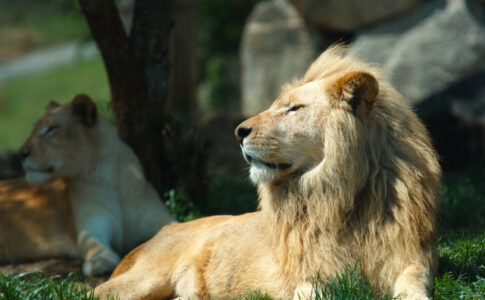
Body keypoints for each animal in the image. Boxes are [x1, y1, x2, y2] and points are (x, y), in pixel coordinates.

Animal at [0, 95, 177, 276]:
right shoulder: (91, 225)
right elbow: (93, 243)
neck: (109, 178)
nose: (21, 154)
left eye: (51, 129)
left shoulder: (158, 217)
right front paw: (100, 261)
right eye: (33, 131)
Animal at [95, 45, 442, 298]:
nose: (239, 131)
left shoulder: (411, 258)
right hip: (144, 281)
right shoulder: (308, 275)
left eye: (294, 108)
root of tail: (162, 231)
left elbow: (414, 286)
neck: (342, 196)